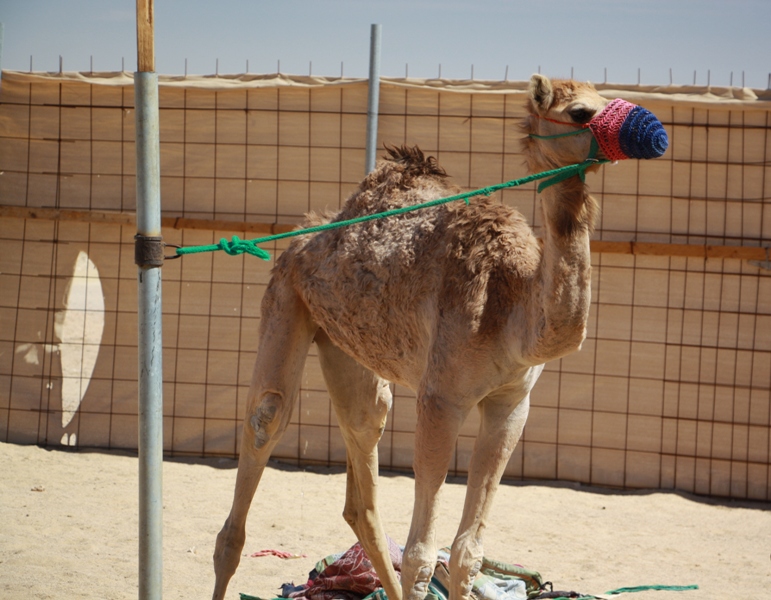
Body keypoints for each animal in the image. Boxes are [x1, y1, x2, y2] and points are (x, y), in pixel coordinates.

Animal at [213, 75, 668, 600]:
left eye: (608, 99)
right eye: (579, 112)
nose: (652, 132)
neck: (512, 305)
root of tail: (307, 234)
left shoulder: (512, 402)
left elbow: (468, 555)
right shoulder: (441, 397)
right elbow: (421, 556)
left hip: (346, 346)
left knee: (364, 449)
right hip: (286, 297)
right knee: (265, 423)